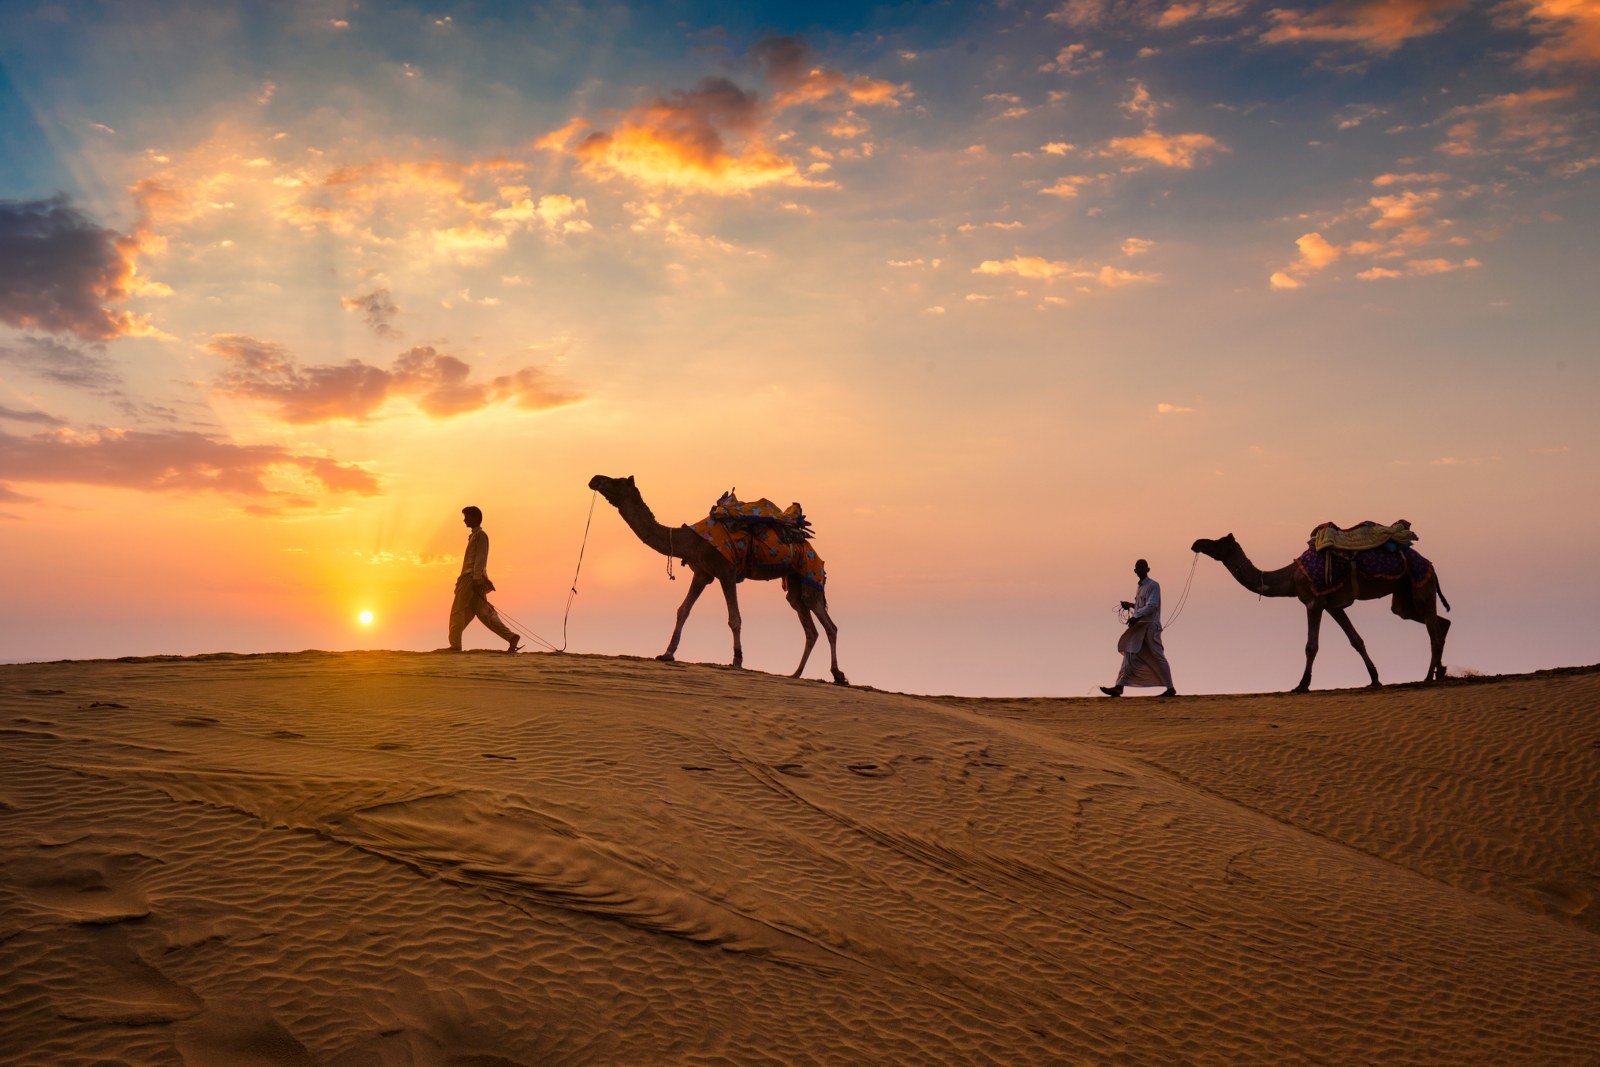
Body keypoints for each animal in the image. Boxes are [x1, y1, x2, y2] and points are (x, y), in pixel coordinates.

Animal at [592, 473, 851, 684]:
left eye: (616, 481)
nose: (595, 479)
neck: (691, 540)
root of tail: (809, 545)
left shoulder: (726, 571)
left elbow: (734, 617)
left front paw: (737, 660)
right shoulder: (702, 573)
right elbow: (683, 610)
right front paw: (667, 654)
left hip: (810, 573)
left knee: (829, 625)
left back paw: (838, 675)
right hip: (795, 582)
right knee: (809, 626)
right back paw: (796, 673)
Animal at [1190, 534, 1452, 694]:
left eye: (1217, 542)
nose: (1197, 543)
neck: (1291, 576)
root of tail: (1431, 564)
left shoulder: (1313, 601)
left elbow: (1311, 646)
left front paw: (1302, 685)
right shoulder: (1333, 605)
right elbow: (1356, 640)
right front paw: (1375, 678)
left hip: (1420, 583)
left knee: (1434, 631)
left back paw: (1428, 678)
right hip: (1403, 596)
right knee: (1440, 622)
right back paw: (1440, 672)